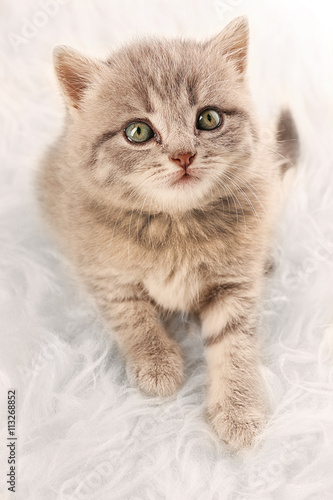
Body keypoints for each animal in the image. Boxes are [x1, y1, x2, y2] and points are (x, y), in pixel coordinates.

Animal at [37, 18, 298, 450]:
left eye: (208, 119)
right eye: (138, 131)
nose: (183, 155)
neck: (175, 224)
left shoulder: (234, 282)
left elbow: (235, 343)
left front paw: (240, 409)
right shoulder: (101, 269)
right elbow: (131, 316)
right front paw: (157, 363)